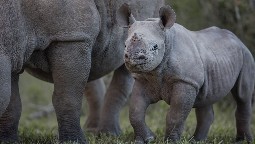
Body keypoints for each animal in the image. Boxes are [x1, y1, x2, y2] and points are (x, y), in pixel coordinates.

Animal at [0, 0, 163, 143]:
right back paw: (92, 131)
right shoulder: (14, 51)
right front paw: (8, 141)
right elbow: (13, 102)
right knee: (92, 68)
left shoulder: (71, 37)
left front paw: (73, 141)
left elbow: (67, 97)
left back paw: (109, 134)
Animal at [117, 3, 255, 143]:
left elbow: (175, 115)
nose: (133, 58)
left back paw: (243, 140)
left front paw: (170, 141)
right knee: (206, 99)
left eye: (155, 47)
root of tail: (238, 40)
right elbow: (135, 111)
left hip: (246, 56)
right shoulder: (143, 79)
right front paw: (146, 139)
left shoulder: (186, 81)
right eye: (125, 46)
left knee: (242, 96)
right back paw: (197, 140)